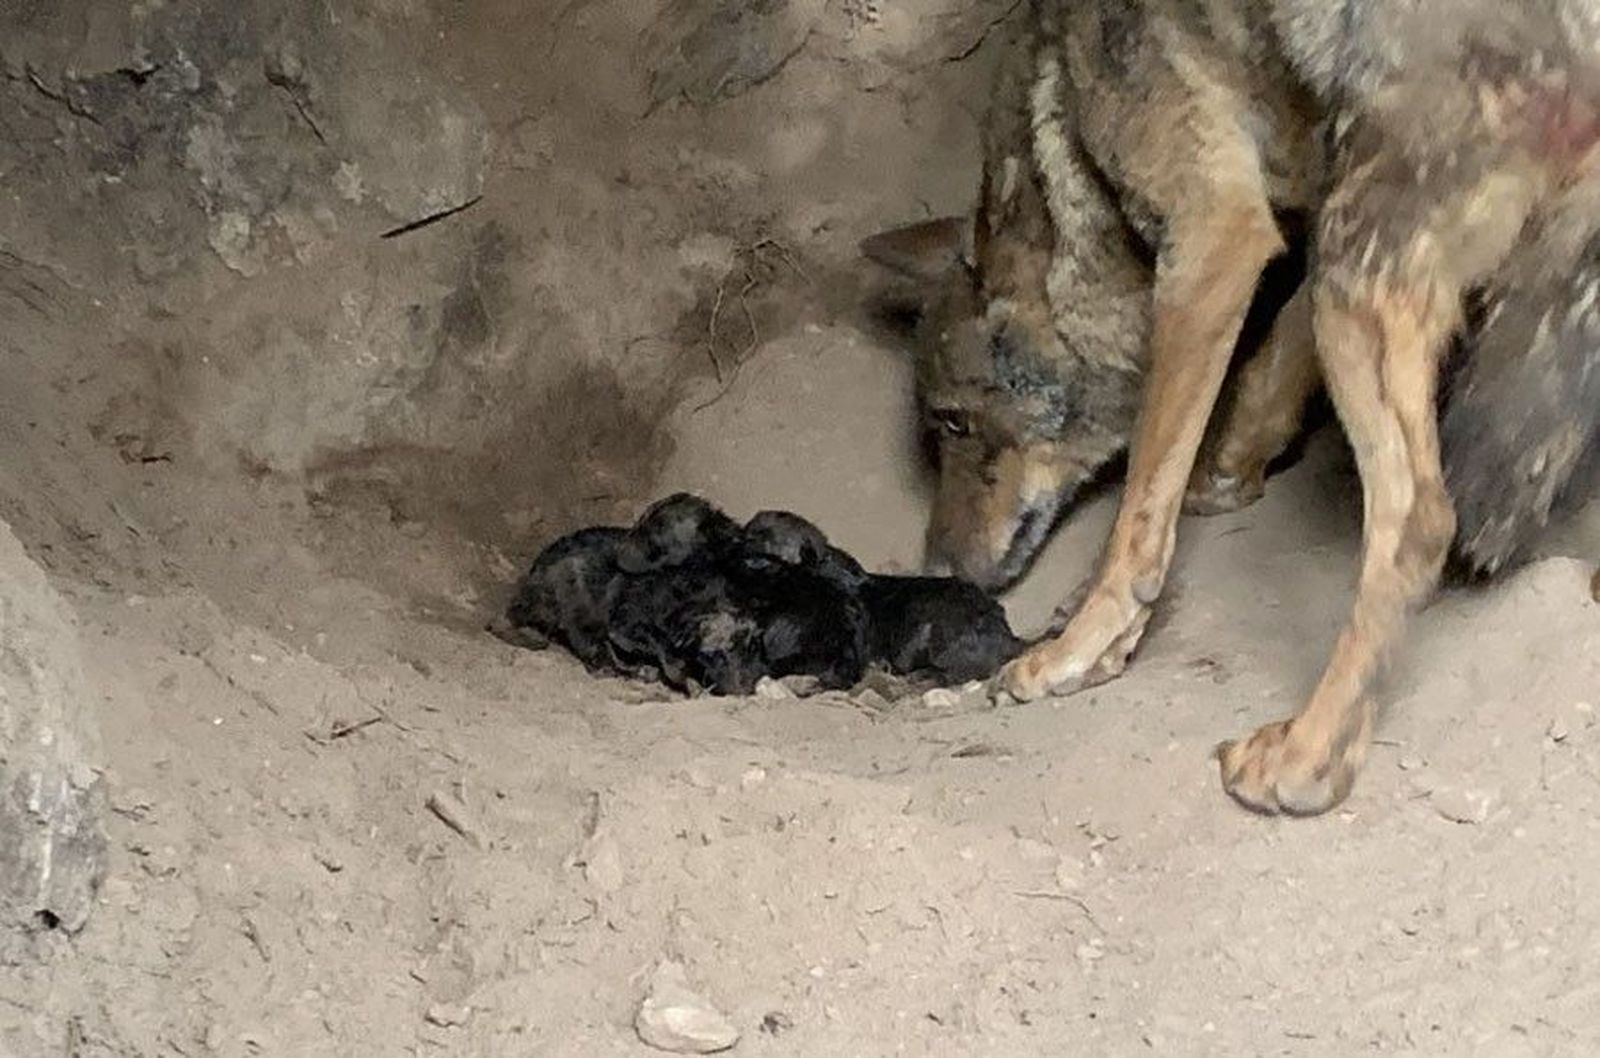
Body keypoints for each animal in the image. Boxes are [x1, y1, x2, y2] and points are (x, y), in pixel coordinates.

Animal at [865, 0, 1600, 814]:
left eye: (953, 421)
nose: (937, 569)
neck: (1067, 139)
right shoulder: (1304, 215)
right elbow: (1270, 362)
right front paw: (1228, 466)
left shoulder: (1213, 241)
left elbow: (1140, 514)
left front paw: (1079, 647)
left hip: (1359, 278)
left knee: (1419, 522)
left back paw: (1307, 758)